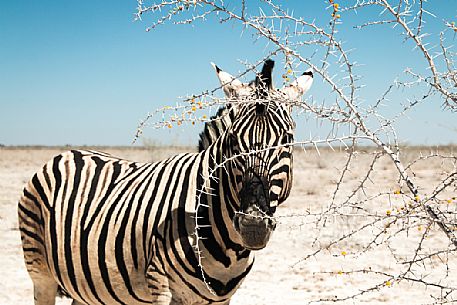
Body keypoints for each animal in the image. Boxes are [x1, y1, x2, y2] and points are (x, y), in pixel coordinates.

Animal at [16, 58, 310, 302]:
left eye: (287, 140)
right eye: (233, 142)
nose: (253, 226)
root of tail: (67, 152)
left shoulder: (221, 299)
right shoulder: (161, 286)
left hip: (87, 286)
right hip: (39, 270)